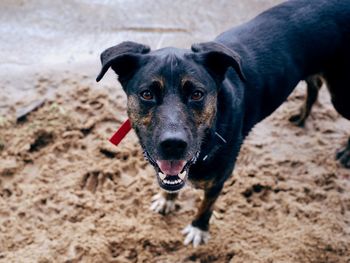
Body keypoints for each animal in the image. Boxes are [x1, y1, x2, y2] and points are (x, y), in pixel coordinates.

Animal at [96, 0, 350, 248]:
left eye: (197, 94)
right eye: (147, 94)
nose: (173, 144)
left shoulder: (220, 178)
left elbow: (206, 205)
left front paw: (198, 228)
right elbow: (171, 181)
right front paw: (167, 200)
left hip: (340, 95)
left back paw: (346, 153)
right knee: (314, 83)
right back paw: (301, 116)